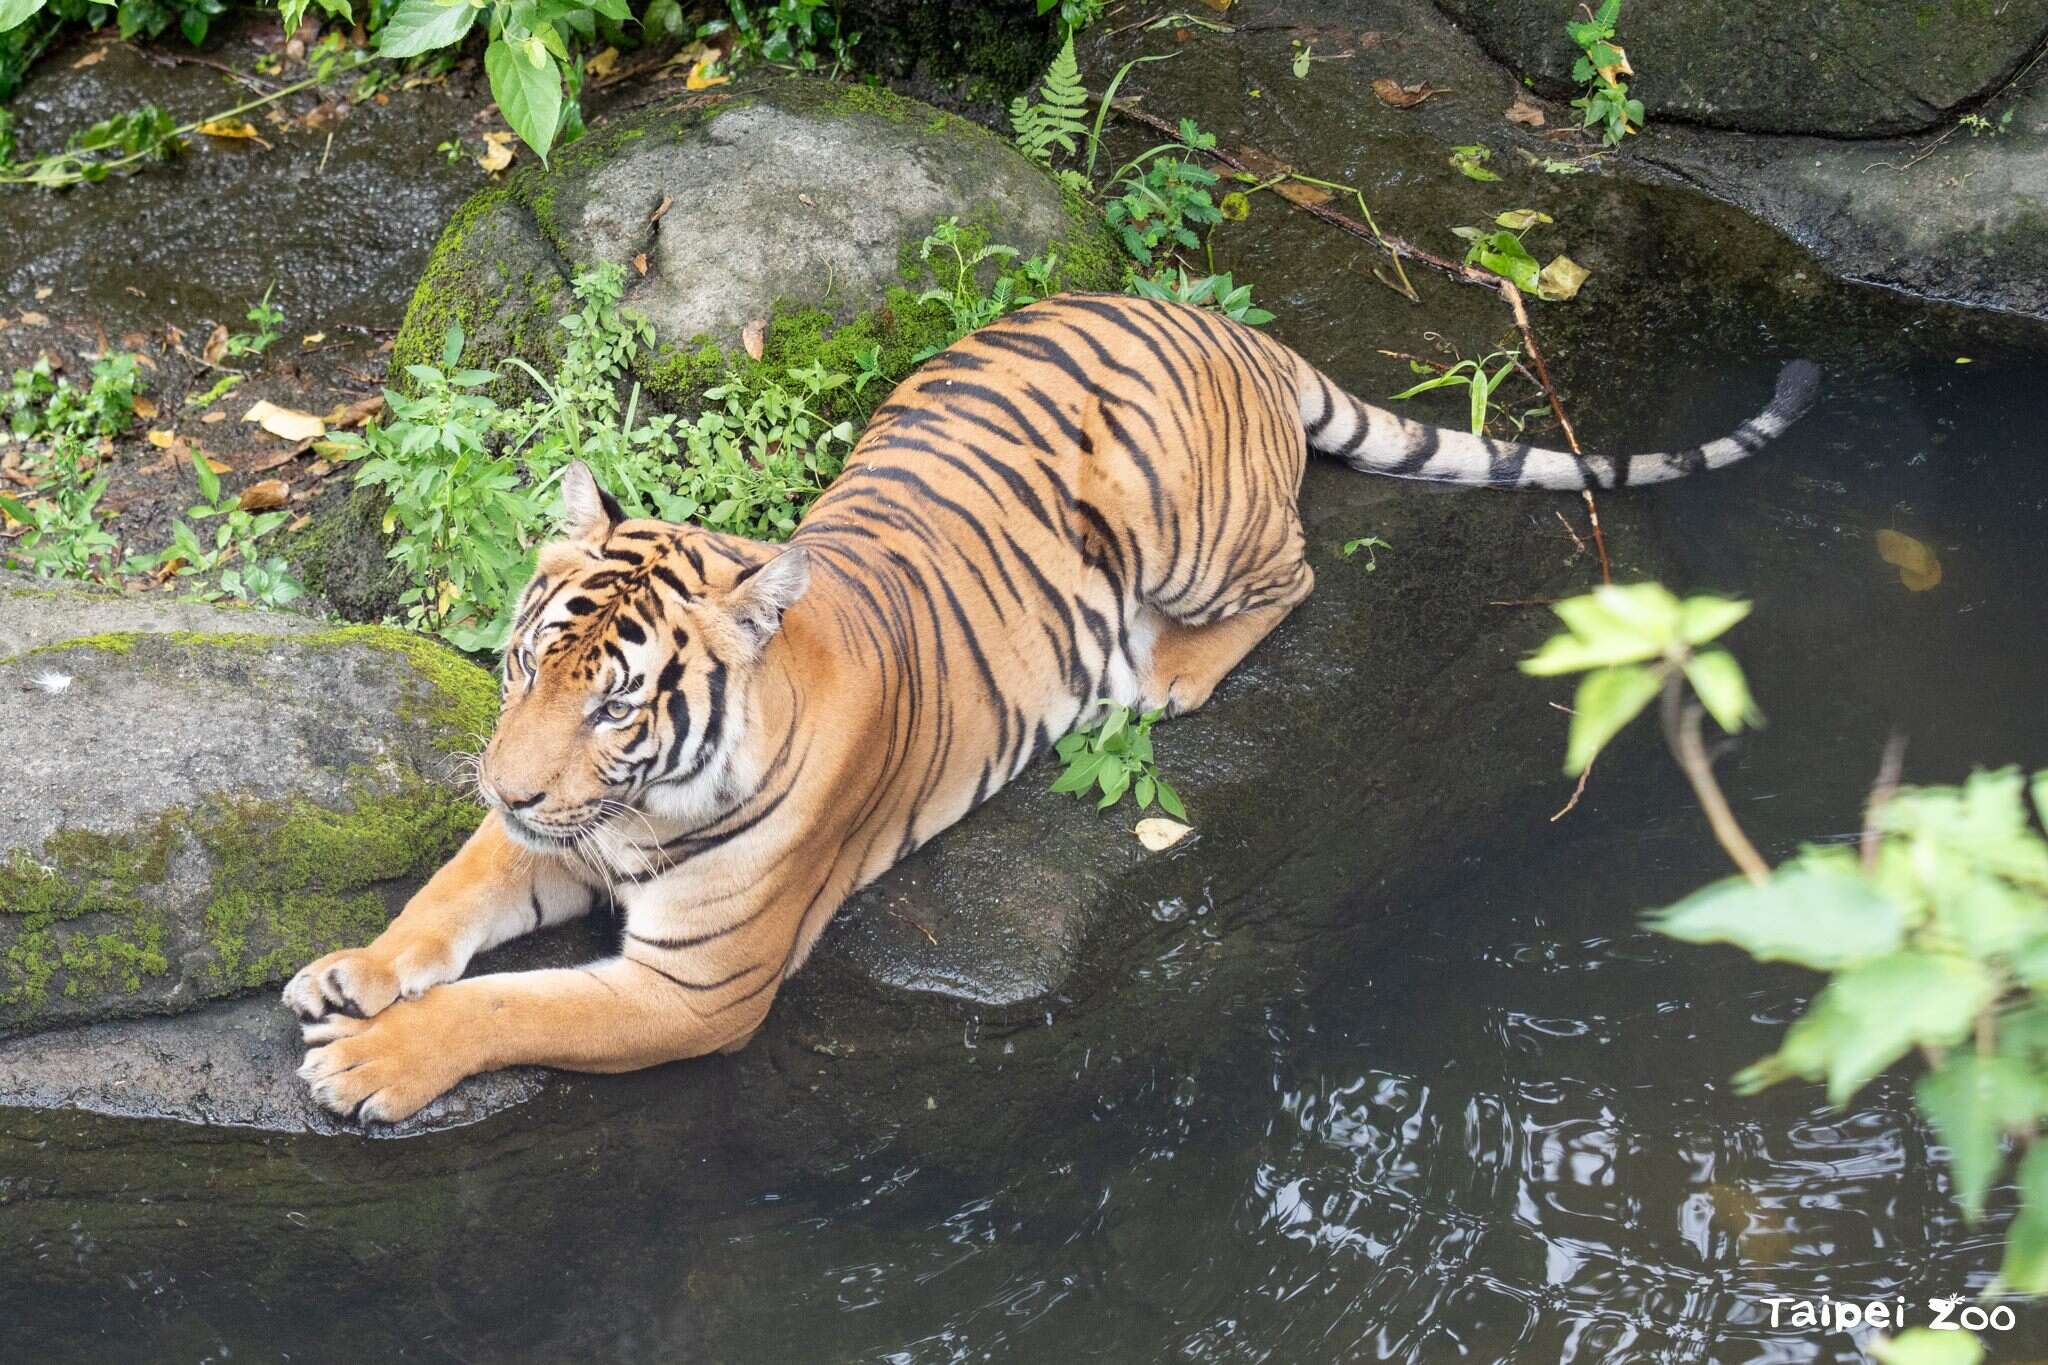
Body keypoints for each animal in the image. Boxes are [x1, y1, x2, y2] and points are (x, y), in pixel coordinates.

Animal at [285, 292, 1817, 1122]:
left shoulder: (691, 988)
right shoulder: (552, 842)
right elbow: (448, 901)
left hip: (1187, 526)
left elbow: (511, 1007)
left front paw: (368, 1060)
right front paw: (351, 973)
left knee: (1299, 569)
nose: (508, 782)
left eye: (617, 709)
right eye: (523, 668)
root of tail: (1229, 324)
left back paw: (1171, 669)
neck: (633, 811)